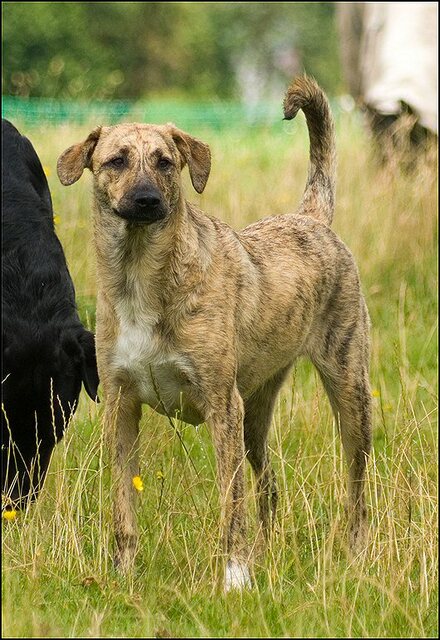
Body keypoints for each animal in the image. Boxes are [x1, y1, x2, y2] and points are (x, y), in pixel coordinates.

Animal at [55, 77, 372, 592]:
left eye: (165, 161)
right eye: (116, 160)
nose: (147, 199)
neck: (143, 276)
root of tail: (311, 218)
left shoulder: (222, 406)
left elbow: (230, 505)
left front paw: (234, 579)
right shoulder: (121, 406)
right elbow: (123, 508)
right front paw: (123, 575)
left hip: (348, 391)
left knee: (357, 487)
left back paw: (354, 555)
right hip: (256, 416)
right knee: (270, 487)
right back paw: (266, 556)